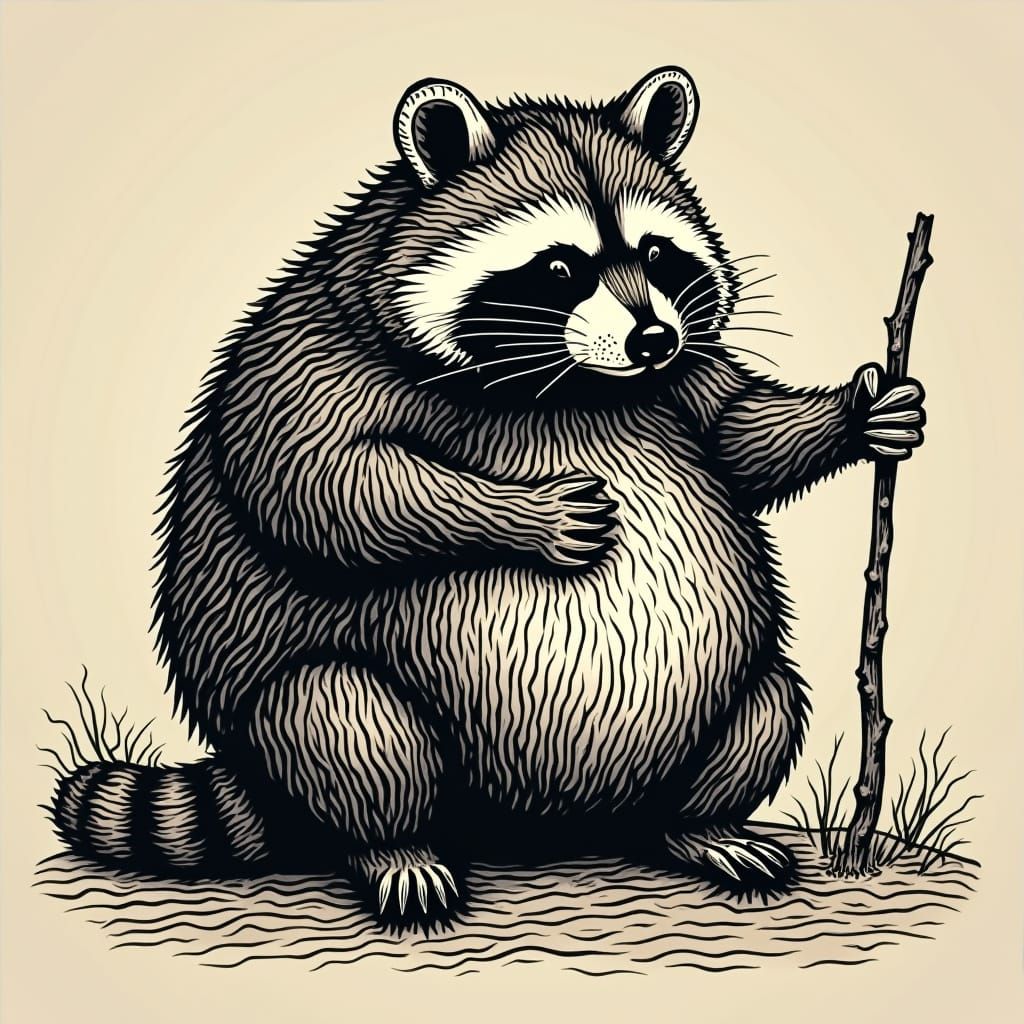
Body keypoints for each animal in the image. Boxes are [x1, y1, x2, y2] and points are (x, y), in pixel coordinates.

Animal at [52, 68, 925, 923]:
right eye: (562, 268)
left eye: (657, 254)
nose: (653, 339)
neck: (572, 384)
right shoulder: (308, 354)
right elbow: (325, 482)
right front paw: (522, 515)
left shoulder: (681, 373)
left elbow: (739, 434)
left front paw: (854, 414)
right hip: (316, 713)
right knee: (340, 721)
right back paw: (394, 846)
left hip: (717, 710)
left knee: (767, 698)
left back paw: (699, 826)